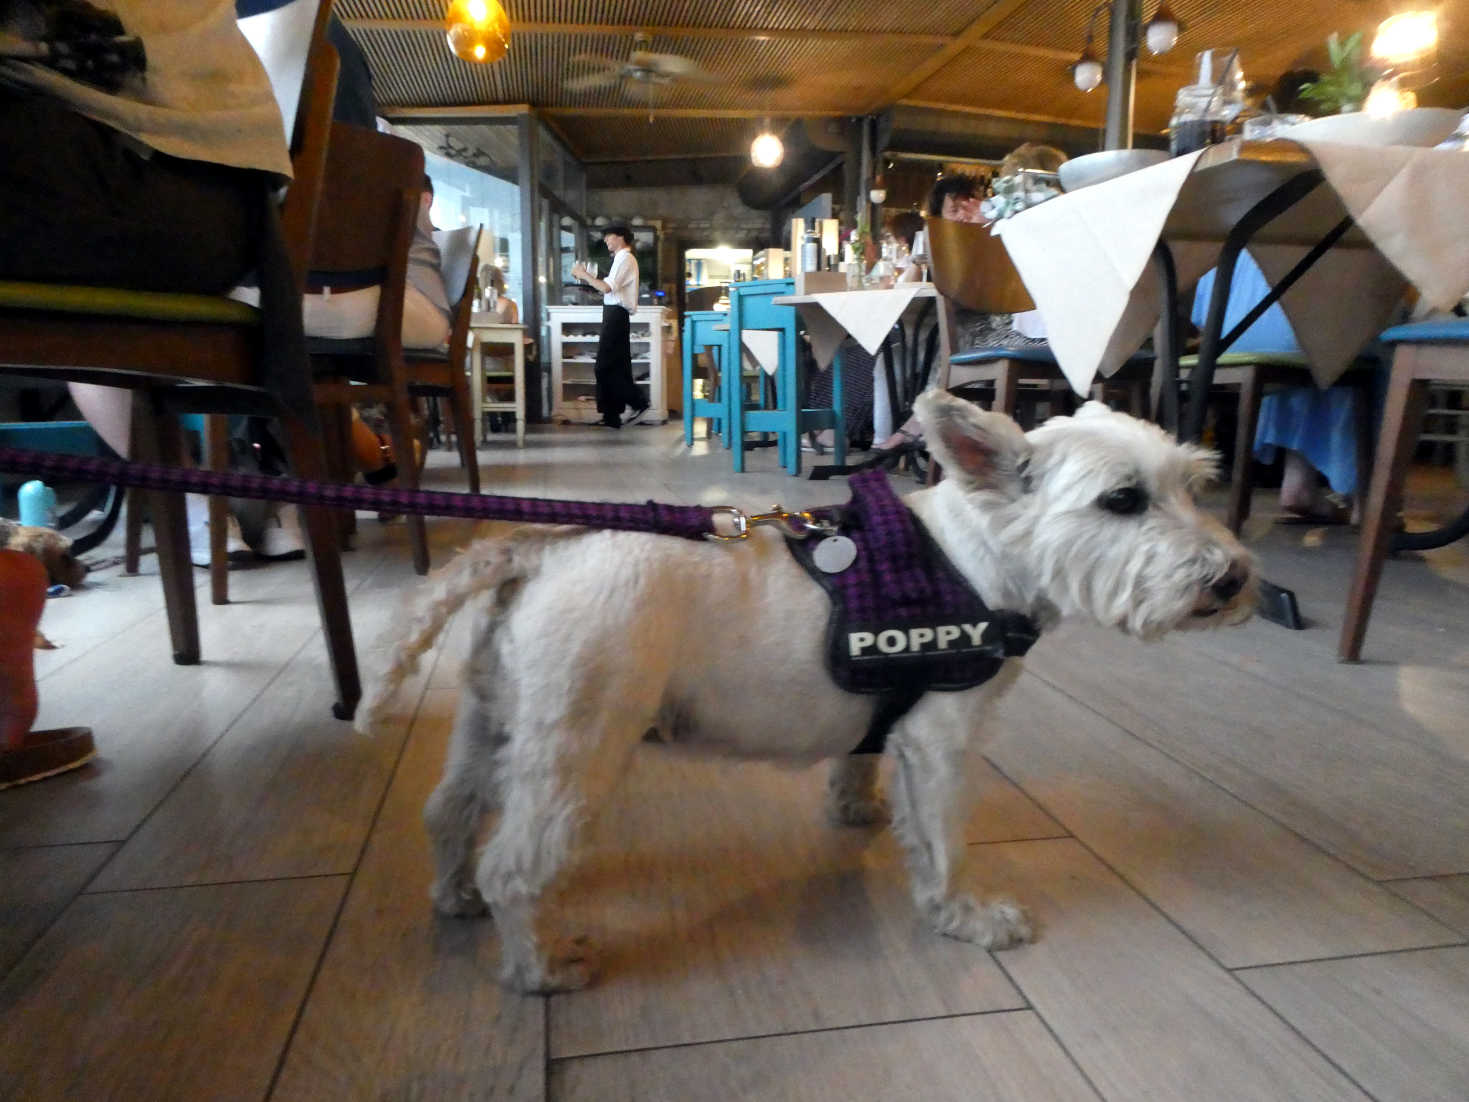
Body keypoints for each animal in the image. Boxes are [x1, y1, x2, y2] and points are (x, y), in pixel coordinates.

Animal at [361, 393, 1257, 993]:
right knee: (515, 866)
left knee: (447, 812)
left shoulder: (887, 719)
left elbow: (859, 762)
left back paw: (455, 895)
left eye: (1194, 487)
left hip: (494, 716)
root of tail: (535, 549)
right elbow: (943, 842)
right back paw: (539, 966)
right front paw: (964, 917)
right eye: (1121, 500)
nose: (1234, 581)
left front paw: (856, 807)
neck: (976, 556)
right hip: (577, 741)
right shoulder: (942, 740)